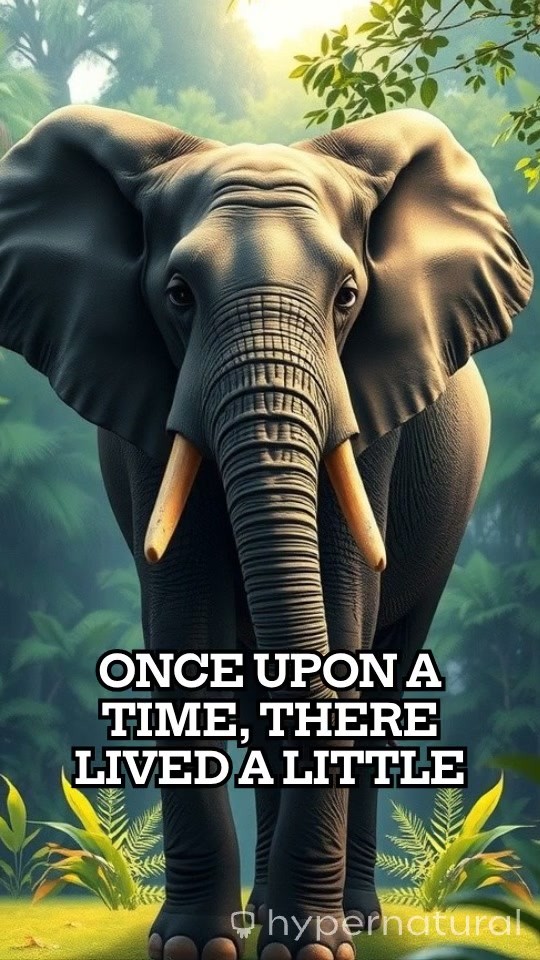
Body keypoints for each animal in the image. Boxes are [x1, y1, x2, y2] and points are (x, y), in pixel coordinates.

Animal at [0, 105, 533, 960]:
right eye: (178, 294)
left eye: (348, 296)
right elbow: (185, 624)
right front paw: (195, 946)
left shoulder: (371, 411)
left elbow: (343, 614)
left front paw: (309, 948)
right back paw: (258, 918)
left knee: (387, 670)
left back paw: (354, 920)